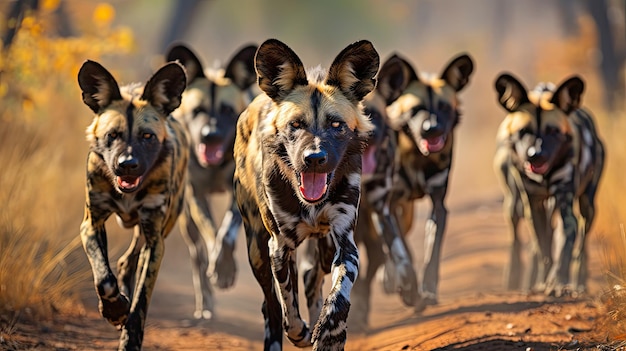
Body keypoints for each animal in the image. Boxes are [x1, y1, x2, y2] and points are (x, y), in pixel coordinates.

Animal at [77, 59, 186, 350]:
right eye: (112, 135)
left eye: (147, 137)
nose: (127, 165)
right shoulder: (91, 224)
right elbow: (104, 278)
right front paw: (115, 310)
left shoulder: (154, 242)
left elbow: (140, 304)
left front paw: (130, 338)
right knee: (123, 264)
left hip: (157, 230)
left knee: (129, 261)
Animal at [165, 42, 258, 320]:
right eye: (198, 111)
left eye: (227, 110)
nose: (210, 135)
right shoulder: (196, 195)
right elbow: (212, 233)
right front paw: (219, 268)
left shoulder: (240, 193)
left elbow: (226, 232)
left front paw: (225, 268)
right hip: (186, 221)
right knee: (198, 255)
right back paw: (205, 304)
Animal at [233, 40, 378, 350]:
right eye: (296, 125)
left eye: (336, 126)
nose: (314, 158)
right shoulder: (278, 247)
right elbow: (287, 304)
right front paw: (299, 333)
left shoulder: (345, 243)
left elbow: (339, 293)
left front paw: (330, 333)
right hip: (258, 250)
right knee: (271, 306)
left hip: (323, 246)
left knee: (313, 277)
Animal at [380, 52, 472, 310]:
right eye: (416, 109)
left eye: (443, 107)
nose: (431, 128)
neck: (418, 157)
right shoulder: (388, 206)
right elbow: (402, 251)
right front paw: (409, 289)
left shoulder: (438, 206)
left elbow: (432, 254)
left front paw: (428, 290)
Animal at [490, 73, 604, 296]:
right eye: (524, 131)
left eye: (553, 131)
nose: (536, 155)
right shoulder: (533, 205)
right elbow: (544, 250)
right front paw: (543, 282)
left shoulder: (565, 206)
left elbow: (566, 248)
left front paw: (558, 282)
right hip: (515, 206)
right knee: (520, 238)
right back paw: (519, 279)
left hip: (587, 206)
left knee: (581, 245)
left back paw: (578, 283)